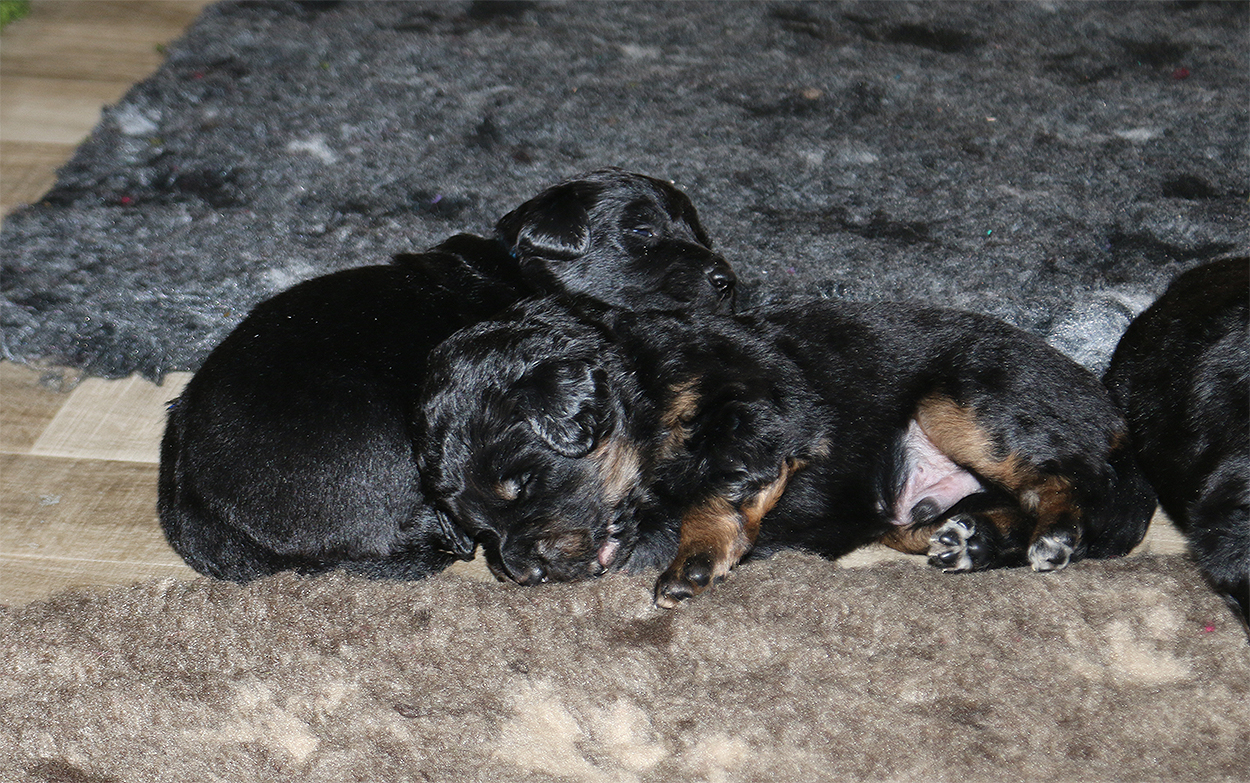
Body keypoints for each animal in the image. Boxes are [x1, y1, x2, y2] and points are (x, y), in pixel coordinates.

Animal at [420, 297, 1157, 606]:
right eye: (476, 525)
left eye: (524, 480)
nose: (525, 573)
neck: (642, 386)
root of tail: (1112, 413)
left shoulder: (769, 407)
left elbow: (714, 485)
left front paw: (692, 562)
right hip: (908, 513)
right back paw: (971, 540)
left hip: (965, 397)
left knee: (1070, 482)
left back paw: (1055, 533)